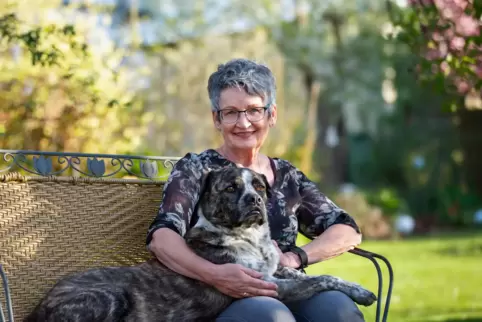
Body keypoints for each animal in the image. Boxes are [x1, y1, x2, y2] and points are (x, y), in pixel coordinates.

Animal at [24, 167, 376, 320]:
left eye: (260, 185)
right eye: (231, 187)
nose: (255, 200)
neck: (246, 237)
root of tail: (40, 305)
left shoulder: (276, 273)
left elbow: (326, 276)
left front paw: (359, 289)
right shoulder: (265, 285)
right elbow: (320, 279)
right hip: (109, 297)